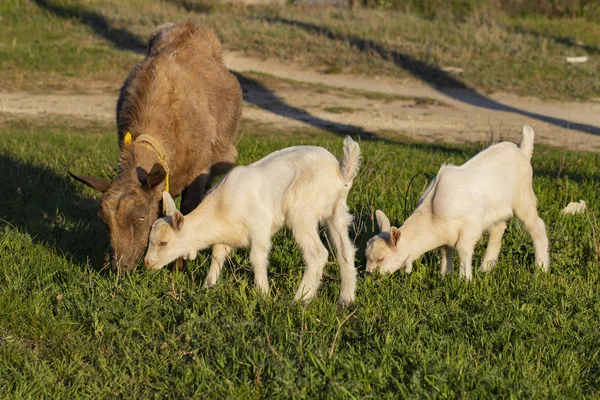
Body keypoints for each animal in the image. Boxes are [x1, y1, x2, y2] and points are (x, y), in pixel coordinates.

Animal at [72, 22, 244, 272]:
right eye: (105, 223)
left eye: (142, 217)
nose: (120, 268)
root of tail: (189, 26)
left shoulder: (198, 171)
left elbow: (185, 214)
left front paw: (179, 268)